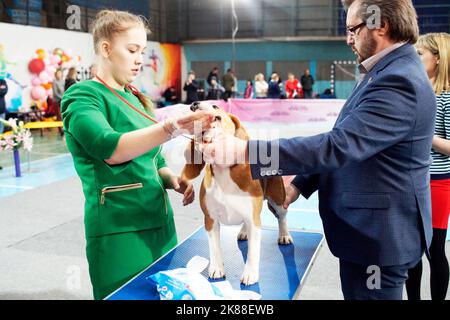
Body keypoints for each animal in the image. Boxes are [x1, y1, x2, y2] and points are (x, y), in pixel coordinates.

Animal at [181, 102, 294, 284]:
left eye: (215, 106)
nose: (193, 104)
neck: (223, 171)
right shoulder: (210, 219)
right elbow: (215, 248)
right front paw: (216, 268)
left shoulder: (254, 221)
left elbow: (253, 252)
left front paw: (250, 273)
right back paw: (243, 232)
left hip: (277, 200)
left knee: (282, 217)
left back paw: (284, 235)